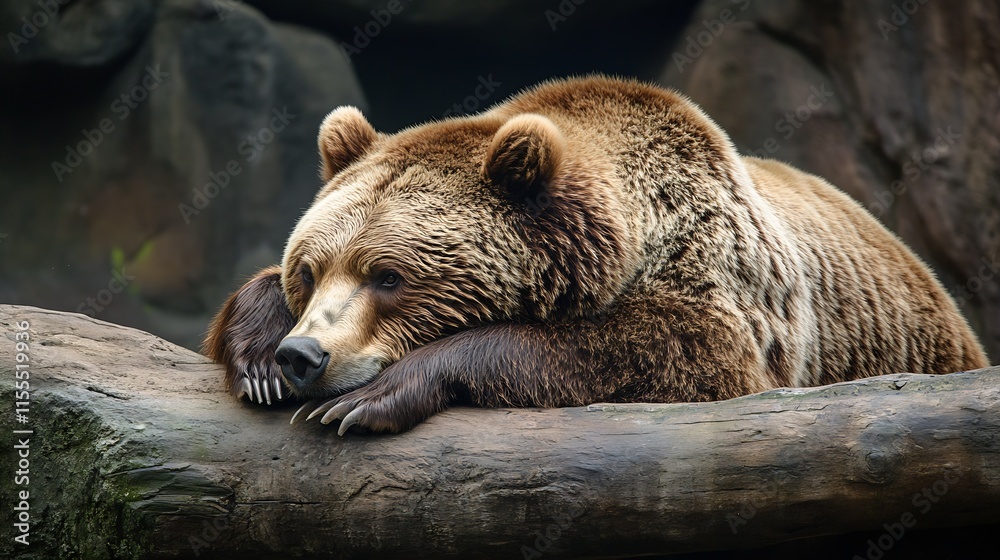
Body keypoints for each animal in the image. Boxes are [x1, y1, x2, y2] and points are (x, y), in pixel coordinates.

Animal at [203, 75, 989, 435]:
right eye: (310, 271)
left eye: (389, 276)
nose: (305, 355)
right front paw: (259, 353)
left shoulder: (728, 286)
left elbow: (677, 352)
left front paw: (373, 396)